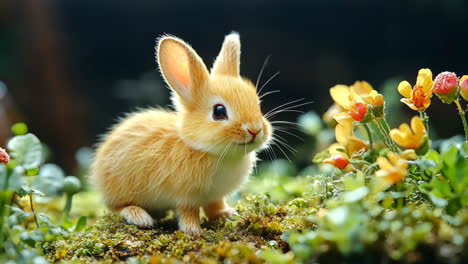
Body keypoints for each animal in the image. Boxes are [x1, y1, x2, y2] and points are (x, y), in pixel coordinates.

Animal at [91, 32, 272, 236]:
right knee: (118, 207)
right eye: (219, 111)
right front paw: (194, 231)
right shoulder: (186, 197)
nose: (255, 129)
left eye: (257, 104)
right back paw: (139, 217)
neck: (209, 151)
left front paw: (227, 214)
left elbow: (215, 206)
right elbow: (188, 212)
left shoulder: (214, 196)